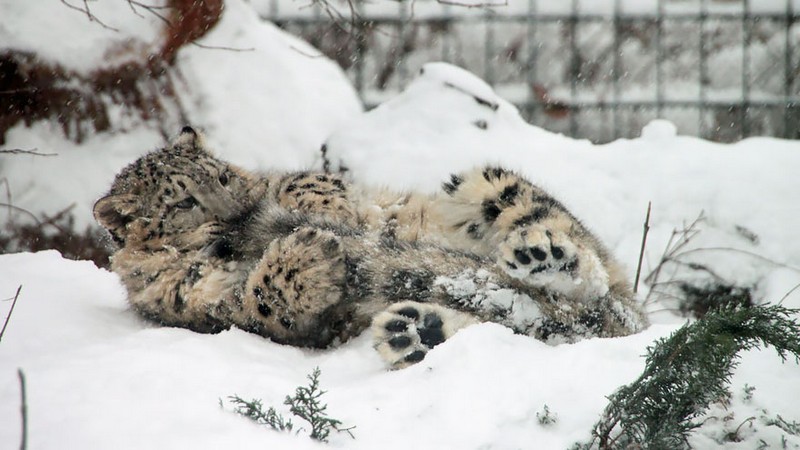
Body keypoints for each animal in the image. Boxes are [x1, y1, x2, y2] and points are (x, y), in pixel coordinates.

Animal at [95, 126, 644, 370]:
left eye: (223, 175)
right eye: (183, 201)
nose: (244, 206)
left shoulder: (292, 179)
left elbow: (310, 182)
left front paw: (327, 218)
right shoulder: (204, 308)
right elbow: (261, 303)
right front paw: (310, 252)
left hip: (489, 185)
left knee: (589, 272)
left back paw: (541, 256)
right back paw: (415, 332)